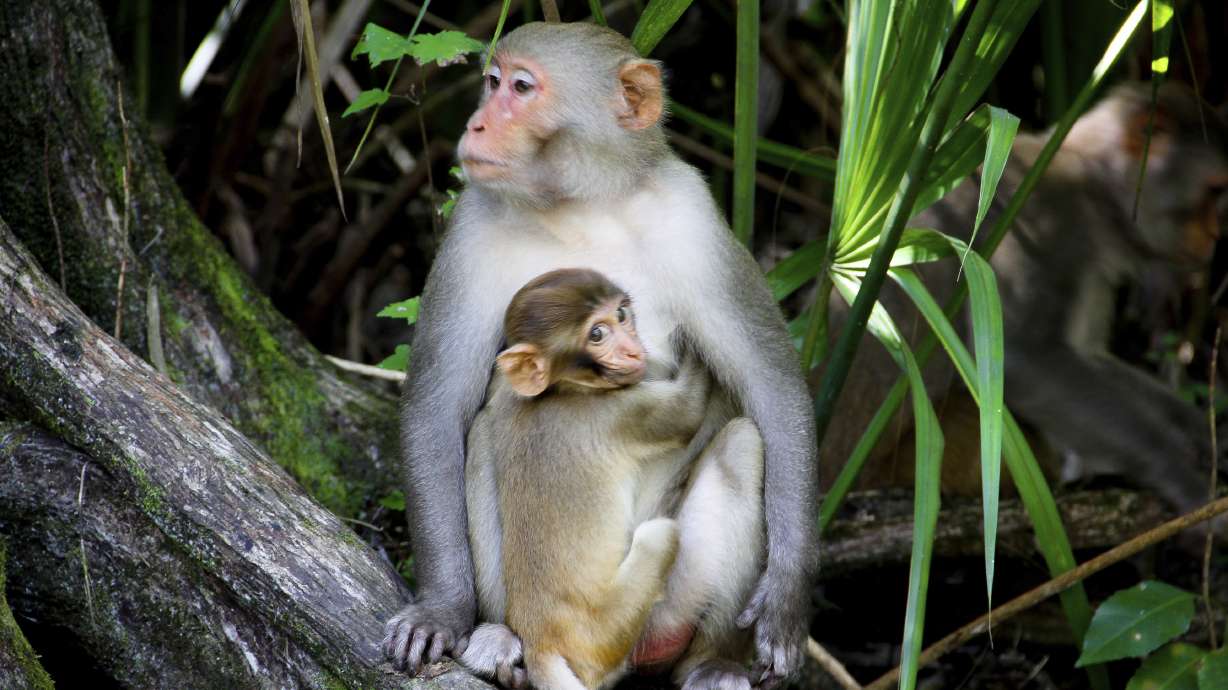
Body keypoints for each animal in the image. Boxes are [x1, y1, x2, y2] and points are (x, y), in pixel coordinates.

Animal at [459, 268, 756, 690]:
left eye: (621, 314)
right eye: (597, 334)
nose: (633, 349)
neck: (564, 390)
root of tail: (540, 639)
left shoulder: (515, 401)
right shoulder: (623, 411)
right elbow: (688, 410)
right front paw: (690, 342)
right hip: (610, 631)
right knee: (667, 528)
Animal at [819, 82, 1228, 514]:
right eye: (1214, 190)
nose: (1215, 236)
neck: (1093, 187)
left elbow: (1087, 356)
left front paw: (1201, 430)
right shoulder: (1045, 221)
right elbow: (1024, 361)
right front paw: (1176, 471)